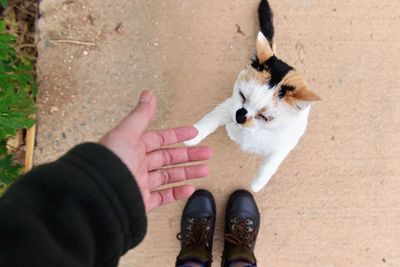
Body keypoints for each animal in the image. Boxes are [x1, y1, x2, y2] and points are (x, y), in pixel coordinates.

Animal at [185, 0, 322, 193]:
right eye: (242, 95)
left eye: (264, 117)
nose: (240, 116)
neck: (252, 131)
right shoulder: (230, 105)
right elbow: (211, 118)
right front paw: (193, 135)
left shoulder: (287, 142)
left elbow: (271, 163)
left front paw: (257, 184)